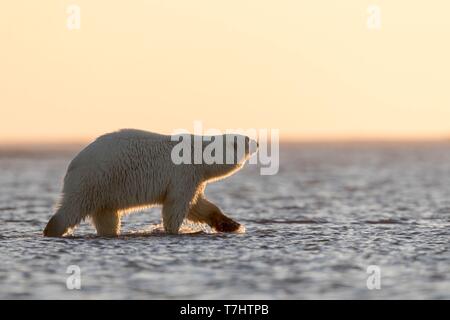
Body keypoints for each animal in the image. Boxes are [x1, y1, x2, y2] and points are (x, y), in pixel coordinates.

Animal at [44, 129, 260, 236]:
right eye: (246, 138)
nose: (258, 142)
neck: (200, 153)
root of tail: (73, 164)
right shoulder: (183, 173)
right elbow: (176, 205)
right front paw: (174, 230)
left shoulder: (195, 177)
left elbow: (198, 205)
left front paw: (231, 225)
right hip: (95, 179)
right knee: (72, 209)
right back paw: (51, 230)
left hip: (106, 190)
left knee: (107, 217)